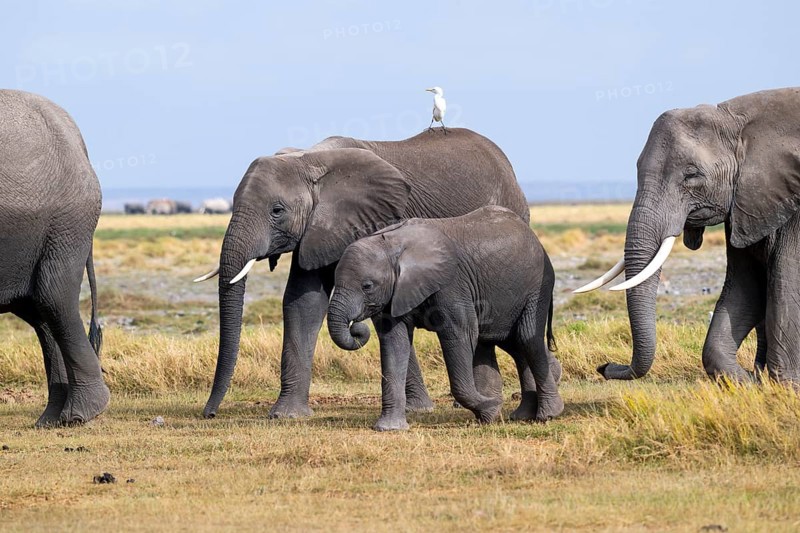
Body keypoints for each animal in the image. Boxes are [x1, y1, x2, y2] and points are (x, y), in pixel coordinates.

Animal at [194, 128, 532, 419]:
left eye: (277, 211)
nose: (209, 414)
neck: (310, 159)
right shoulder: (318, 229)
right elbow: (303, 302)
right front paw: (286, 415)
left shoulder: (380, 221)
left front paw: (417, 409)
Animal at [327, 206, 564, 430]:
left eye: (367, 286)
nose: (356, 328)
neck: (391, 243)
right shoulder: (395, 293)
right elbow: (394, 343)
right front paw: (389, 428)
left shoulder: (452, 285)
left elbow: (460, 335)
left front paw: (491, 409)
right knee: (511, 344)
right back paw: (520, 415)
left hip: (537, 287)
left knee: (526, 338)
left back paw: (548, 414)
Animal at [576, 87, 800, 384]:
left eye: (692, 175)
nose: (604, 366)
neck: (740, 118)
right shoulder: (749, 204)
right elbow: (746, 287)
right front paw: (749, 381)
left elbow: (787, 283)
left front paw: (784, 385)